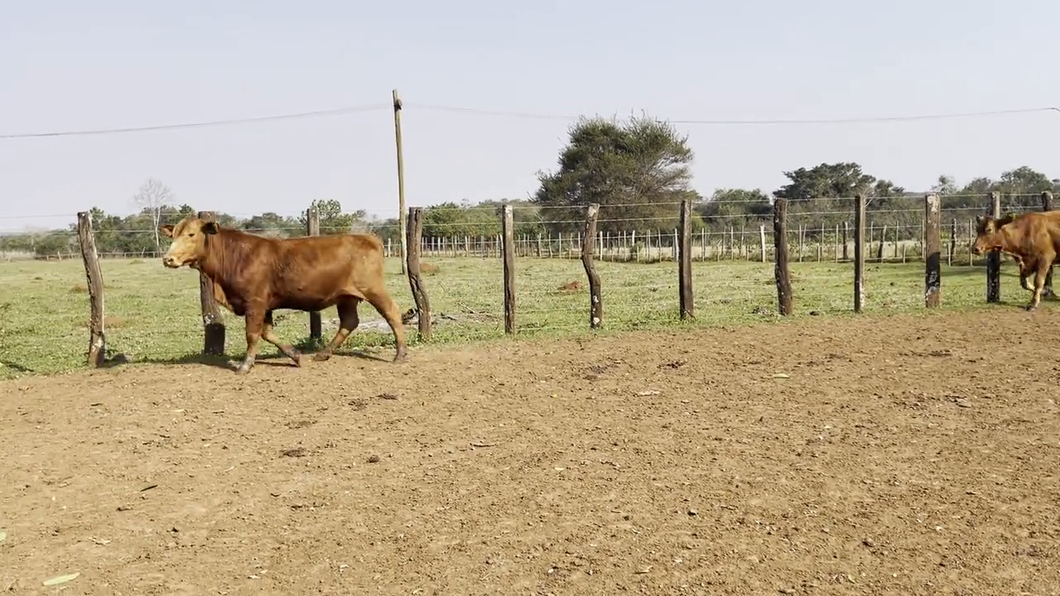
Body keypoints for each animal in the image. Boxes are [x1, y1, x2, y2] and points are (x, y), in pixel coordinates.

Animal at [158, 213, 407, 371]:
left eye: (191, 234)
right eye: (174, 235)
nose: (167, 259)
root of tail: (367, 237)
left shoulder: (255, 302)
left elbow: (252, 334)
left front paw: (244, 365)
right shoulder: (264, 305)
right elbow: (267, 333)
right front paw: (295, 355)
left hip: (373, 289)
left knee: (392, 313)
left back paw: (400, 354)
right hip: (346, 296)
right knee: (349, 322)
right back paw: (324, 354)